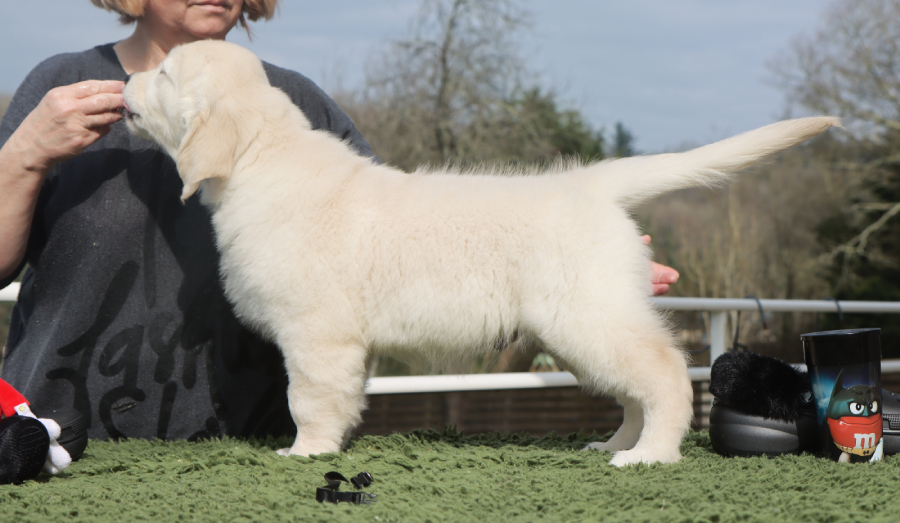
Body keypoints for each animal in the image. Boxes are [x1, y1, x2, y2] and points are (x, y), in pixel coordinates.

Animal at [122, 40, 838, 466]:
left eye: (163, 73)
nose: (124, 80)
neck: (261, 161)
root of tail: (591, 182)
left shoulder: (316, 334)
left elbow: (311, 399)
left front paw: (307, 454)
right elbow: (344, 398)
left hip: (585, 315)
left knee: (664, 373)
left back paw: (648, 456)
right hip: (586, 324)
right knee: (633, 387)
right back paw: (614, 442)